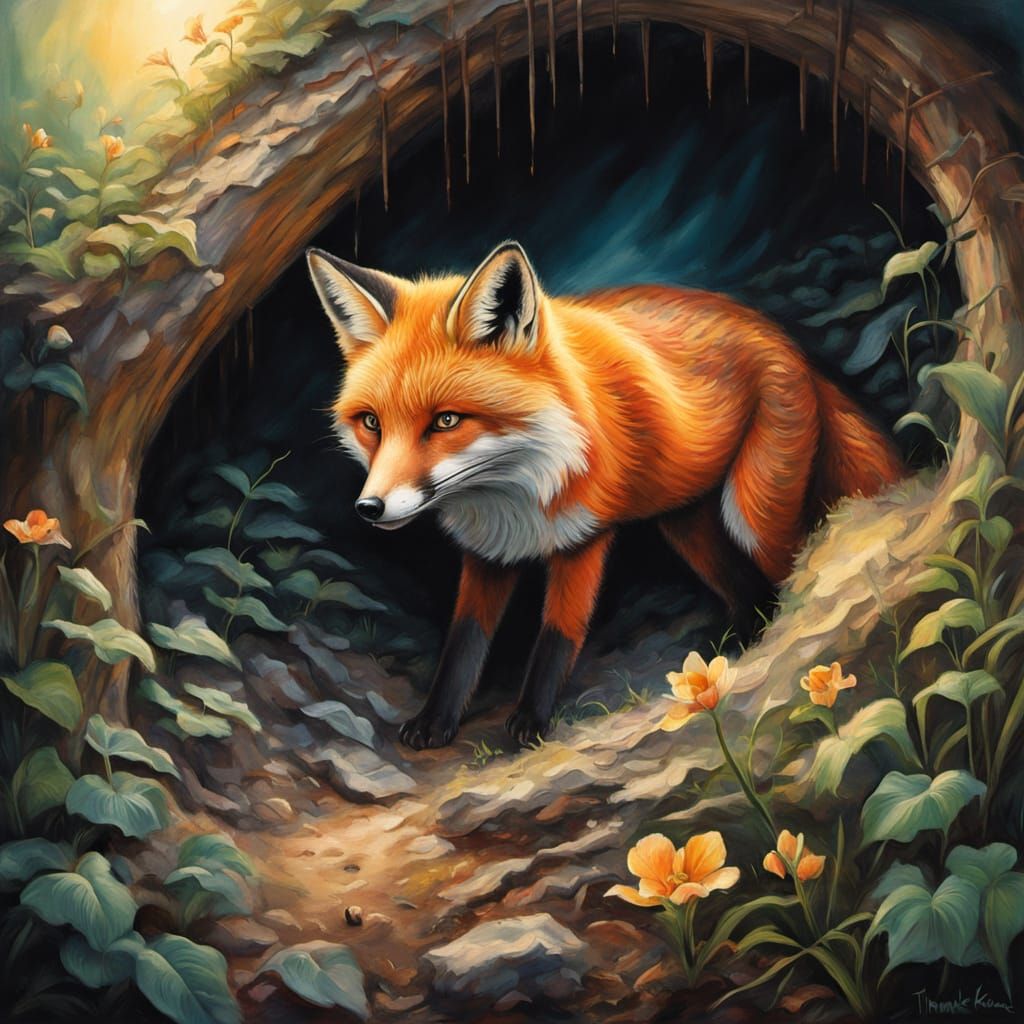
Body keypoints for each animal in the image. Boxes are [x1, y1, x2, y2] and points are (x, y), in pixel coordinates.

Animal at [306, 241, 903, 749]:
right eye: (371, 423)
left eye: (446, 421)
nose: (369, 508)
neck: (512, 491)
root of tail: (780, 335)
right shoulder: (488, 554)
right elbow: (463, 644)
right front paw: (436, 721)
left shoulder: (583, 540)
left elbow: (557, 637)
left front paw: (531, 722)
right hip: (687, 525)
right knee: (747, 592)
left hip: (753, 517)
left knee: (797, 574)